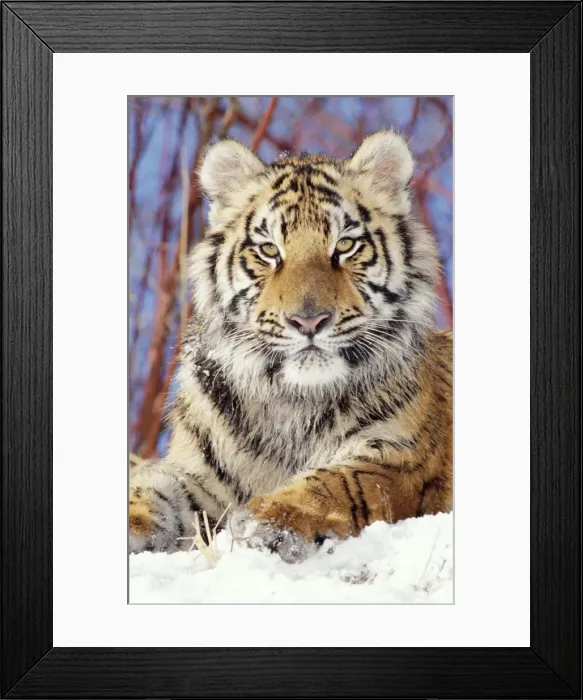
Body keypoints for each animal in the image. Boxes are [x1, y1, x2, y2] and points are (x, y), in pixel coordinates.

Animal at [129, 130, 452, 563]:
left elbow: (337, 483)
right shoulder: (198, 473)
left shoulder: (398, 458)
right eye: (269, 250)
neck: (289, 400)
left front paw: (266, 522)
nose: (308, 321)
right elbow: (152, 489)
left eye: (346, 246)